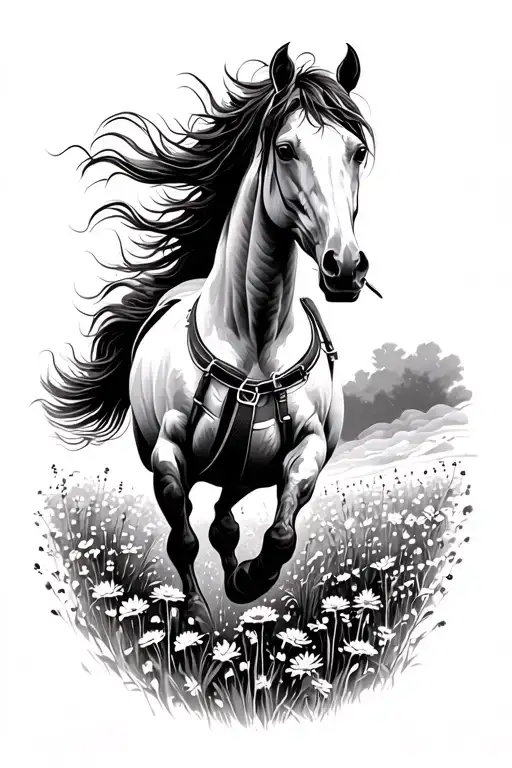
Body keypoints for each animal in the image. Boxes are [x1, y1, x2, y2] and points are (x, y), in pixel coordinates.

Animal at [41, 43, 377, 630]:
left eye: (356, 151)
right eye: (285, 149)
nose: (346, 267)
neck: (254, 340)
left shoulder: (310, 449)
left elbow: (281, 533)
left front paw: (251, 578)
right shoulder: (168, 459)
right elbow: (182, 541)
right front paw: (196, 610)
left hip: (243, 471)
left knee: (226, 518)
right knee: (212, 523)